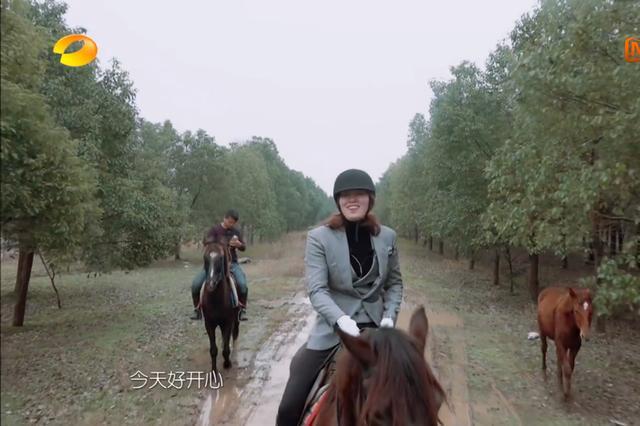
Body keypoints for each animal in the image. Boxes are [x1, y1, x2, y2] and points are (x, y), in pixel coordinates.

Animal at [201, 238, 240, 373]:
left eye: (221, 258)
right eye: (205, 258)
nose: (211, 284)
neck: (216, 300)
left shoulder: (227, 322)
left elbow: (226, 349)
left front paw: (227, 363)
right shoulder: (209, 324)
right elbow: (213, 350)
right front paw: (214, 371)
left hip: (235, 319)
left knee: (235, 333)